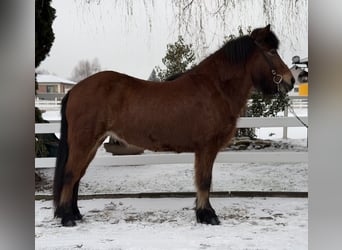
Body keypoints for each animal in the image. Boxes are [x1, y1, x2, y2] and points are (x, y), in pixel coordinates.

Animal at [53, 24, 294, 227]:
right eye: (271, 52)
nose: (290, 80)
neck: (215, 87)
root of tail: (75, 90)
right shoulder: (206, 148)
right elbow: (204, 181)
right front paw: (208, 215)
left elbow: (202, 181)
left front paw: (202, 213)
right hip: (83, 142)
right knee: (70, 174)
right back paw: (67, 218)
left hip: (92, 144)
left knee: (77, 176)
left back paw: (75, 214)